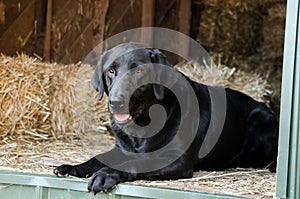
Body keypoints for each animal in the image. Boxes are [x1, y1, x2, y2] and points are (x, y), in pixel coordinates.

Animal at [54, 42, 278, 194]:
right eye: (111, 70)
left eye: (139, 70)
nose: (116, 102)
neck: (142, 125)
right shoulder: (121, 149)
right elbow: (97, 158)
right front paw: (72, 167)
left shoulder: (176, 160)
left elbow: (136, 163)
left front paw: (105, 174)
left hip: (259, 119)